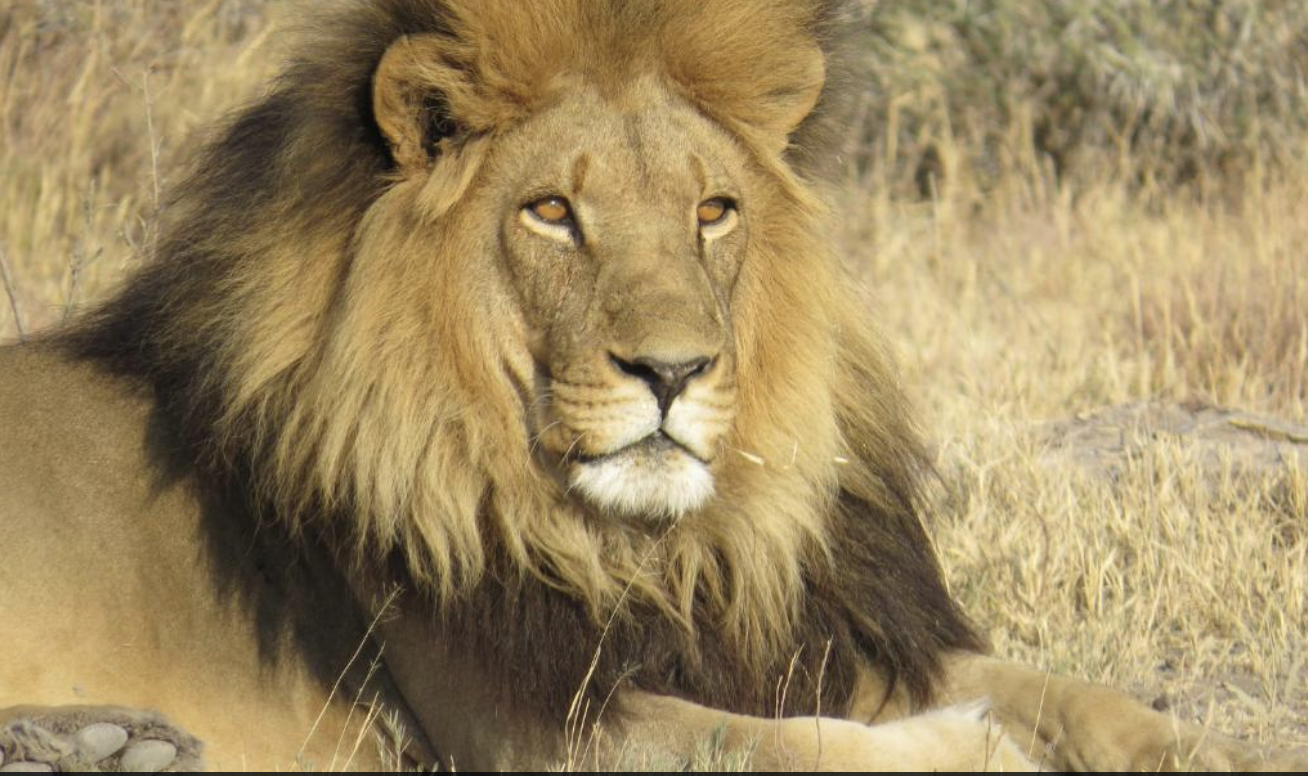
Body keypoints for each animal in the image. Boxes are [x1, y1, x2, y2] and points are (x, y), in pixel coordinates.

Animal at [0, 0, 1303, 771]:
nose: (674, 370)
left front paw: (1208, 749)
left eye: (712, 210)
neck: (656, 546)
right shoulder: (519, 725)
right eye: (550, 212)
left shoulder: (796, 629)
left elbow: (1078, 690)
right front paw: (971, 748)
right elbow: (785, 746)